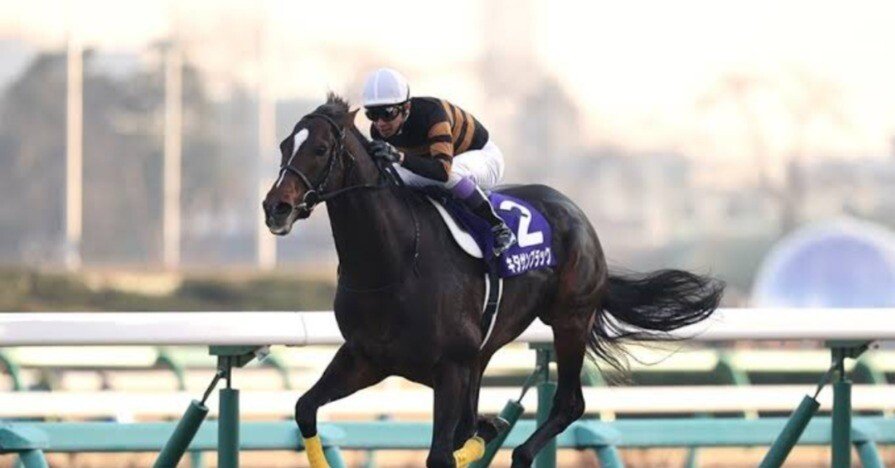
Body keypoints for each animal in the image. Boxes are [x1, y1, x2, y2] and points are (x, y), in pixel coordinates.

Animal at [262, 94, 724, 468]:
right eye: (285, 145)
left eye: (320, 148)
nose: (275, 207)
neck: (393, 261)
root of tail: (577, 215)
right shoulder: (366, 357)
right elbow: (305, 409)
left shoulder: (449, 367)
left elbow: (441, 455)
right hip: (485, 352)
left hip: (570, 319)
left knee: (568, 404)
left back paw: (518, 450)